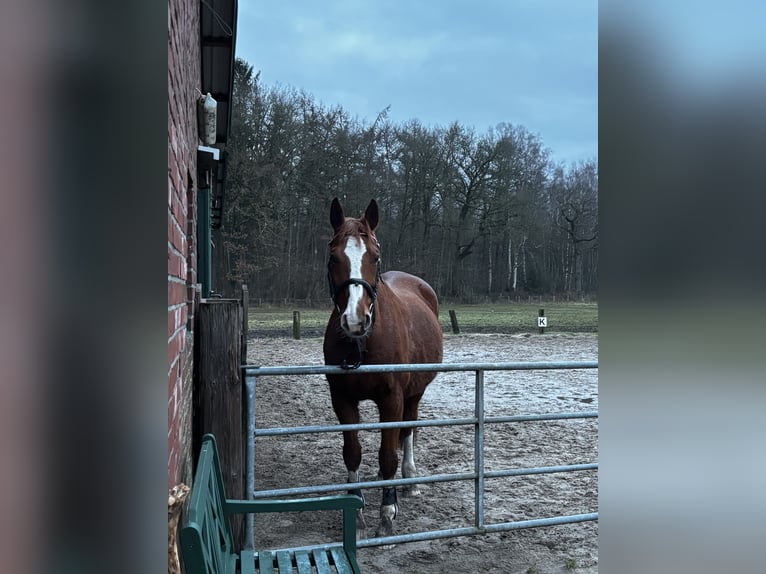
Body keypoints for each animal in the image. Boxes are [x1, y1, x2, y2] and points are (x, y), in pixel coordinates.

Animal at [324, 198, 444, 540]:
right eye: (333, 256)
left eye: (374, 257)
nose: (355, 320)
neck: (363, 342)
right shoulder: (342, 399)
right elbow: (352, 453)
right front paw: (357, 511)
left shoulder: (393, 398)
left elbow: (389, 454)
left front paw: (387, 514)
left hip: (414, 394)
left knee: (407, 431)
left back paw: (410, 480)